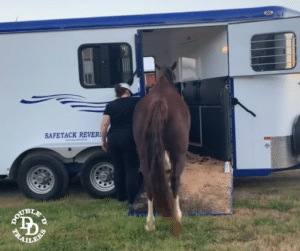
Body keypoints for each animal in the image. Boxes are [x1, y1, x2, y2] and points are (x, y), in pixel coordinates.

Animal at [133, 61, 190, 236]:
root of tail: (159, 102)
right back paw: (178, 216)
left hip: (143, 153)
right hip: (179, 152)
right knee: (175, 180)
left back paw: (150, 224)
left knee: (149, 183)